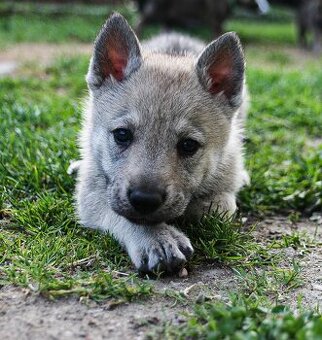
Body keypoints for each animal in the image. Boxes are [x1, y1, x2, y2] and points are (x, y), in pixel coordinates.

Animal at [76, 13, 249, 274]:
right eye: (122, 135)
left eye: (188, 145)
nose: (144, 199)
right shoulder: (91, 194)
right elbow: (122, 214)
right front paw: (156, 239)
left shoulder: (222, 190)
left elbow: (215, 208)